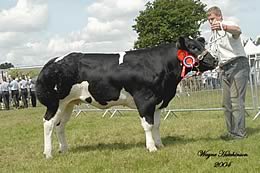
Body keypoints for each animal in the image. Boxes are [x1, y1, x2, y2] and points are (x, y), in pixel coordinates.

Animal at [35, 37, 217, 159]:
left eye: (202, 45)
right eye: (193, 47)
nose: (214, 60)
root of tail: (51, 62)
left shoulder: (158, 102)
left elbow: (157, 124)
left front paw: (160, 144)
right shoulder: (145, 100)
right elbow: (148, 125)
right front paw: (151, 147)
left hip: (68, 104)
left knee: (60, 125)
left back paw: (64, 149)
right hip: (54, 103)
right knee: (48, 123)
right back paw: (48, 153)